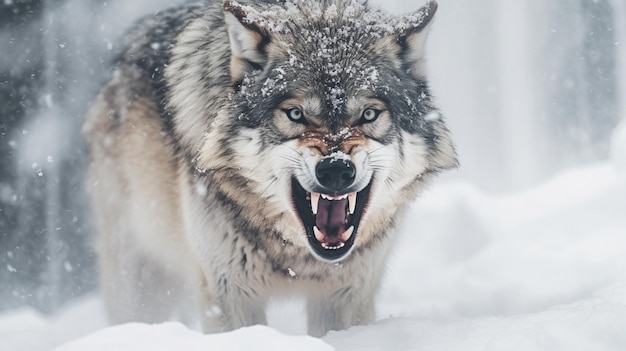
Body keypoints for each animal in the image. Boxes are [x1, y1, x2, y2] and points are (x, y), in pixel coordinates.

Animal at [81, 0, 454, 336]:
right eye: (295, 114)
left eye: (369, 114)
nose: (335, 170)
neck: (298, 258)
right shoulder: (228, 293)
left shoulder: (346, 294)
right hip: (139, 283)